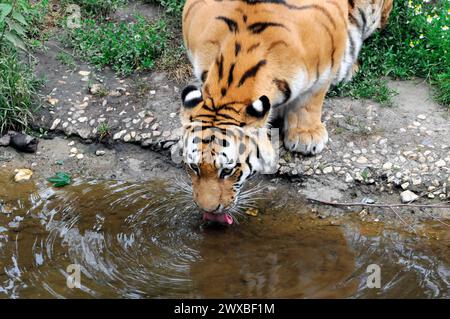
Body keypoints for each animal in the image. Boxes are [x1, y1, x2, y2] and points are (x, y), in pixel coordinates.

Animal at [178, 0, 392, 225]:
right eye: (194, 167)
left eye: (227, 170)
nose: (208, 210)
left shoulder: (325, 66)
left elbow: (310, 100)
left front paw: (306, 137)